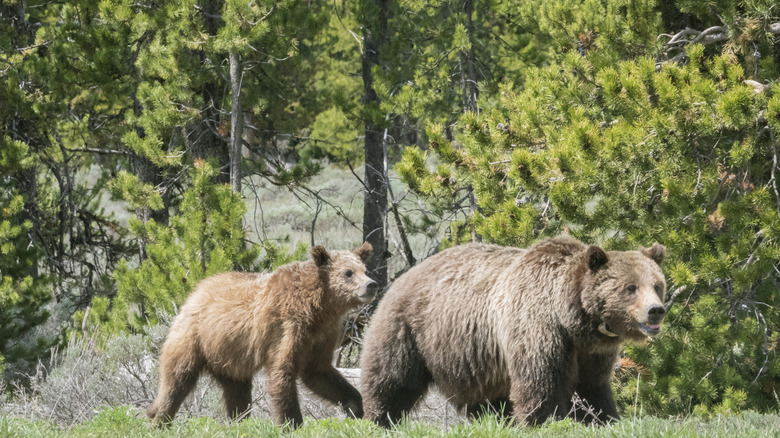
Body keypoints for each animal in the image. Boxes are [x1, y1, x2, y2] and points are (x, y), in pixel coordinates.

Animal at [150, 241, 378, 426]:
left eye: (365, 269)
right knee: (177, 380)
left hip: (230, 359)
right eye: (348, 272)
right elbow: (282, 371)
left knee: (237, 392)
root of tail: (193, 294)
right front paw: (292, 422)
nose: (371, 284)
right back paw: (158, 418)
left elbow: (319, 371)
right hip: (194, 338)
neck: (319, 308)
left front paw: (356, 405)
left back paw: (238, 421)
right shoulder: (287, 326)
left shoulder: (322, 335)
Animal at [360, 238, 664, 426]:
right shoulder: (538, 327)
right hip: (410, 330)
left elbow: (592, 387)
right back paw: (378, 418)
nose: (656, 310)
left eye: (657, 284)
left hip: (473, 357)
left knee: (485, 399)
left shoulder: (591, 352)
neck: (572, 317)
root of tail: (405, 274)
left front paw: (604, 418)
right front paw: (544, 421)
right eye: (630, 287)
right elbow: (541, 383)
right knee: (392, 379)